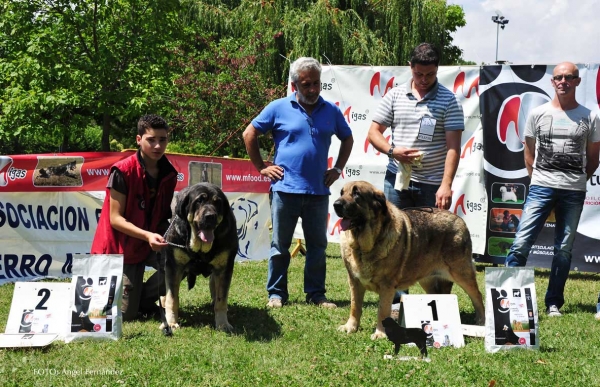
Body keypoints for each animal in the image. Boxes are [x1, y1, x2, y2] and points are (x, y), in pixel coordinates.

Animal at [161, 183, 238, 332]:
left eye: (217, 202)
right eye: (199, 201)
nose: (210, 216)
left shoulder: (224, 268)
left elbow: (221, 300)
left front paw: (222, 324)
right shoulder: (173, 267)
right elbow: (172, 298)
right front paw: (171, 322)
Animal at [336, 182, 486, 340]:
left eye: (357, 194)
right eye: (341, 193)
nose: (336, 204)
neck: (364, 246)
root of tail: (460, 220)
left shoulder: (386, 286)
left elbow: (382, 310)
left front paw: (380, 333)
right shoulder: (354, 281)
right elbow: (355, 306)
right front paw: (350, 327)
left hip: (461, 273)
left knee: (477, 296)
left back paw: (481, 322)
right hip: (427, 279)